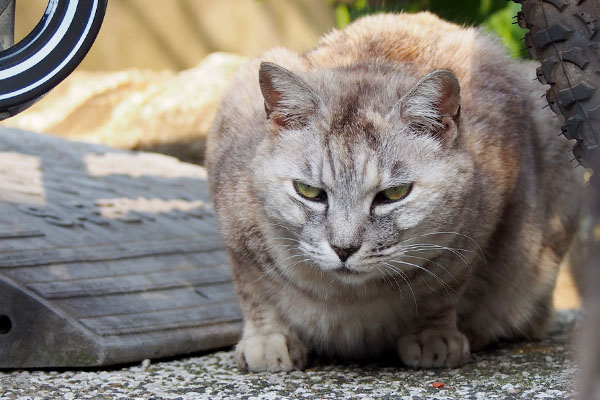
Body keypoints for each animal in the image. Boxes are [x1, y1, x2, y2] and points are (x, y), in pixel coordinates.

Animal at [207, 10, 584, 372]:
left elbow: (442, 291)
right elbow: (254, 292)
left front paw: (433, 338)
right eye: (309, 192)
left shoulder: (477, 222)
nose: (344, 249)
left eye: (393, 194)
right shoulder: (236, 229)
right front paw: (267, 340)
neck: (348, 298)